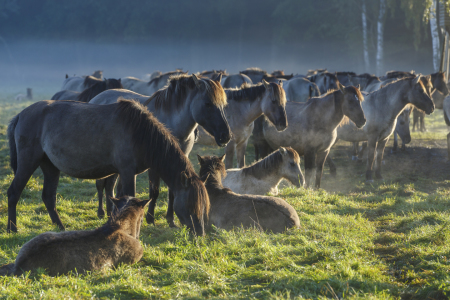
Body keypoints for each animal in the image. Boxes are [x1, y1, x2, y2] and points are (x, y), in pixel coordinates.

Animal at [6, 99, 211, 236]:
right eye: (191, 204)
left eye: (204, 205)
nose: (200, 233)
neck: (139, 132)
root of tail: (20, 115)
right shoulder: (127, 172)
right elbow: (129, 198)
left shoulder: (120, 173)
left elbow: (117, 200)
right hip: (28, 162)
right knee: (14, 192)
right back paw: (12, 228)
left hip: (50, 167)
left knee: (48, 197)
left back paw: (61, 228)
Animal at [88, 74, 230, 226]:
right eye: (208, 104)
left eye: (224, 105)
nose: (225, 136)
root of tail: (98, 97)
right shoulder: (154, 164)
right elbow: (154, 191)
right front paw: (150, 218)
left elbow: (172, 192)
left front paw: (171, 220)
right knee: (101, 184)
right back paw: (102, 212)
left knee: (110, 186)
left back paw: (111, 212)